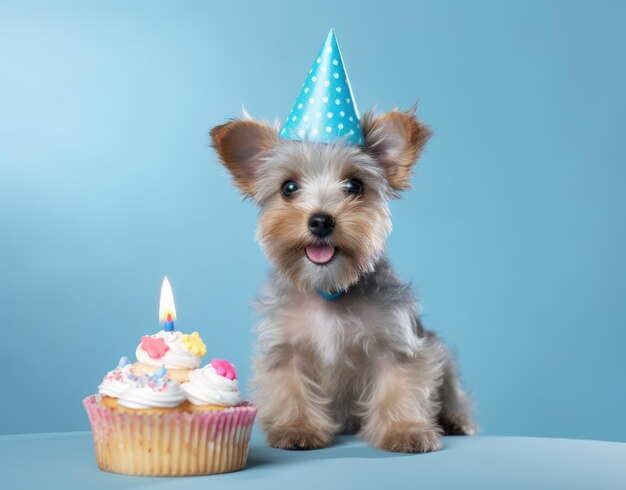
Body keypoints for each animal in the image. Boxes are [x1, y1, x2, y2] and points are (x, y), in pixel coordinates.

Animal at [210, 107, 472, 452]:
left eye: (354, 186)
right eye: (288, 187)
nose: (321, 220)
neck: (328, 289)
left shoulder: (398, 343)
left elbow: (399, 388)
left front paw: (404, 430)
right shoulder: (285, 347)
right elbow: (291, 388)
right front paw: (297, 427)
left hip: (445, 357)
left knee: (454, 393)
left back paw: (454, 421)